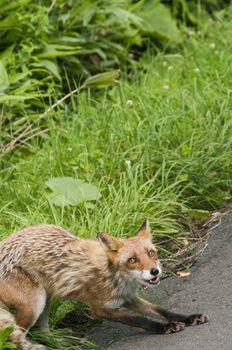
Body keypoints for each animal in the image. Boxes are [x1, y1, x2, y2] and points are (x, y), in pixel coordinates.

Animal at [0, 220, 207, 348]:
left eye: (151, 253)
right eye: (132, 260)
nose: (154, 271)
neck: (115, 275)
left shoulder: (128, 297)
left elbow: (162, 311)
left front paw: (188, 318)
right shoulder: (100, 308)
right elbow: (139, 319)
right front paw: (163, 328)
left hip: (45, 302)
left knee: (41, 332)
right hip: (34, 305)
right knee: (15, 336)